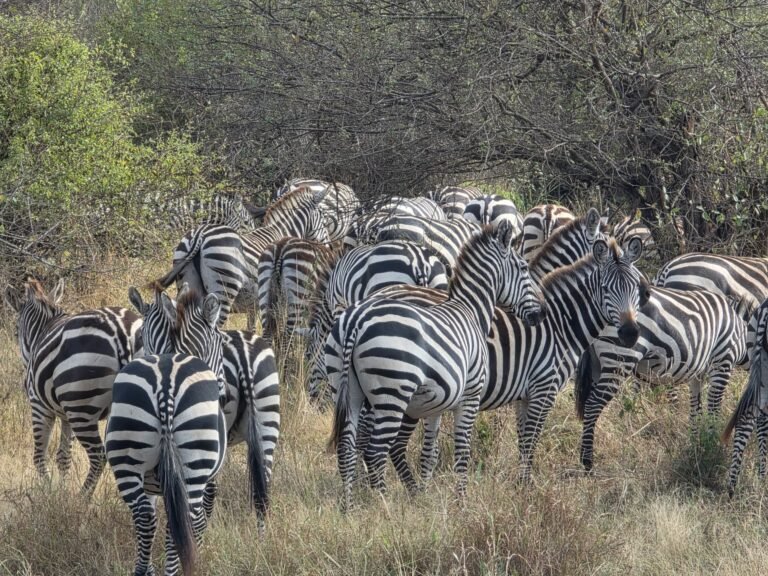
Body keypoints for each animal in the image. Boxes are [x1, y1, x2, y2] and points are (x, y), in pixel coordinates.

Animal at [7, 279, 143, 496]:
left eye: (16, 329)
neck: (42, 330)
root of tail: (121, 332)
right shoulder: (65, 414)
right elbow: (63, 456)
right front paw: (62, 490)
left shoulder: (39, 406)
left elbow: (39, 456)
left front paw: (50, 493)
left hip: (81, 407)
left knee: (99, 456)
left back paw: (82, 498)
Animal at [129, 286, 280, 520]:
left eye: (141, 335)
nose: (224, 394)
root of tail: (244, 356)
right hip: (266, 424)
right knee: (262, 488)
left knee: (207, 492)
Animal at [157, 187, 331, 329]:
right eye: (323, 217)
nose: (328, 245)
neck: (281, 231)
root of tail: (200, 236)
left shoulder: (253, 305)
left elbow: (252, 328)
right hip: (224, 289)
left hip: (187, 281)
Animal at [327, 221, 545, 509]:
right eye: (523, 268)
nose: (541, 314)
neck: (470, 311)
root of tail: (356, 320)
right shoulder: (470, 396)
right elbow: (463, 450)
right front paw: (461, 502)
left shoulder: (436, 404)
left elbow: (429, 453)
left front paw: (425, 494)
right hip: (391, 393)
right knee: (375, 451)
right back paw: (384, 505)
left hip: (346, 390)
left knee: (347, 447)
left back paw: (349, 506)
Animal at [575, 284, 748, 472]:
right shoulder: (723, 361)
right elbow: (714, 408)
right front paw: (713, 444)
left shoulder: (698, 373)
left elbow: (696, 410)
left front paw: (696, 446)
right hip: (619, 358)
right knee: (593, 405)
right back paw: (587, 462)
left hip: (596, 364)